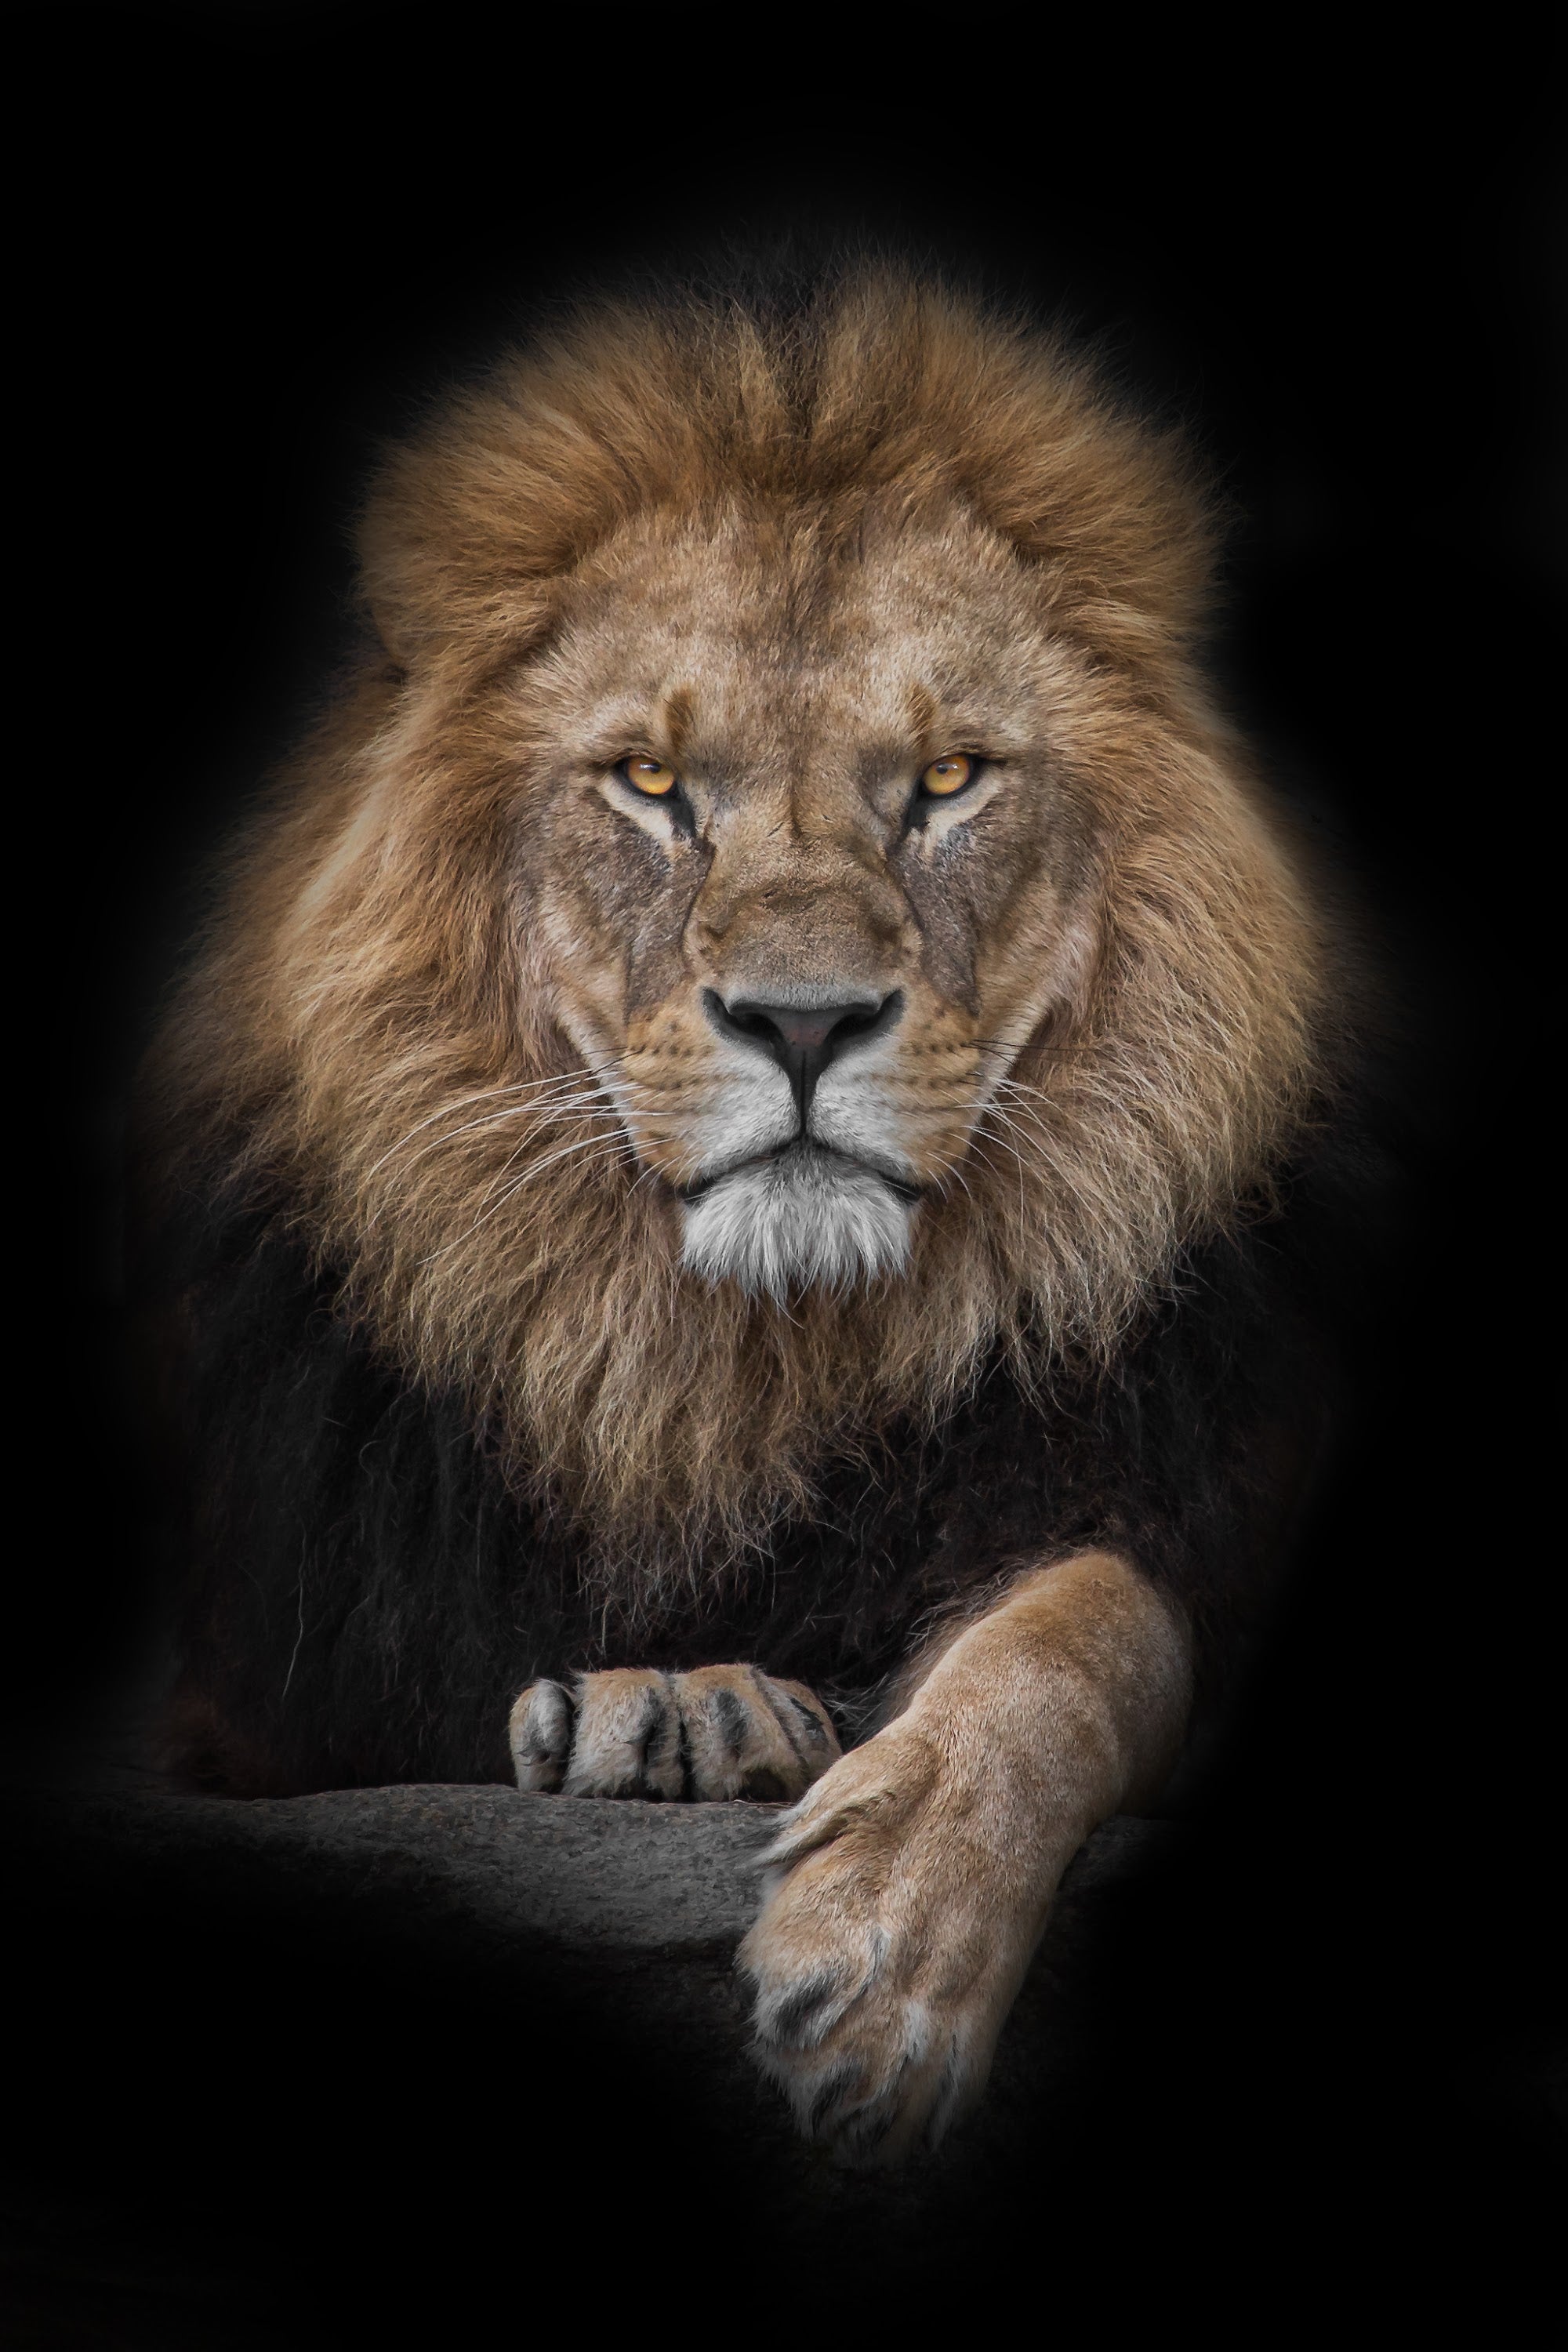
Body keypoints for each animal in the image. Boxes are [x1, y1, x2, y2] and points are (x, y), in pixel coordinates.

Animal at [138, 267, 1359, 2164]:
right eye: (650, 784)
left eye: (948, 780)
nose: (800, 1021)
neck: (741, 1366)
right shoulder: (261, 1687)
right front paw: (672, 1703)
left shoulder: (1177, 1499)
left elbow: (1084, 1634)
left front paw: (888, 1955)